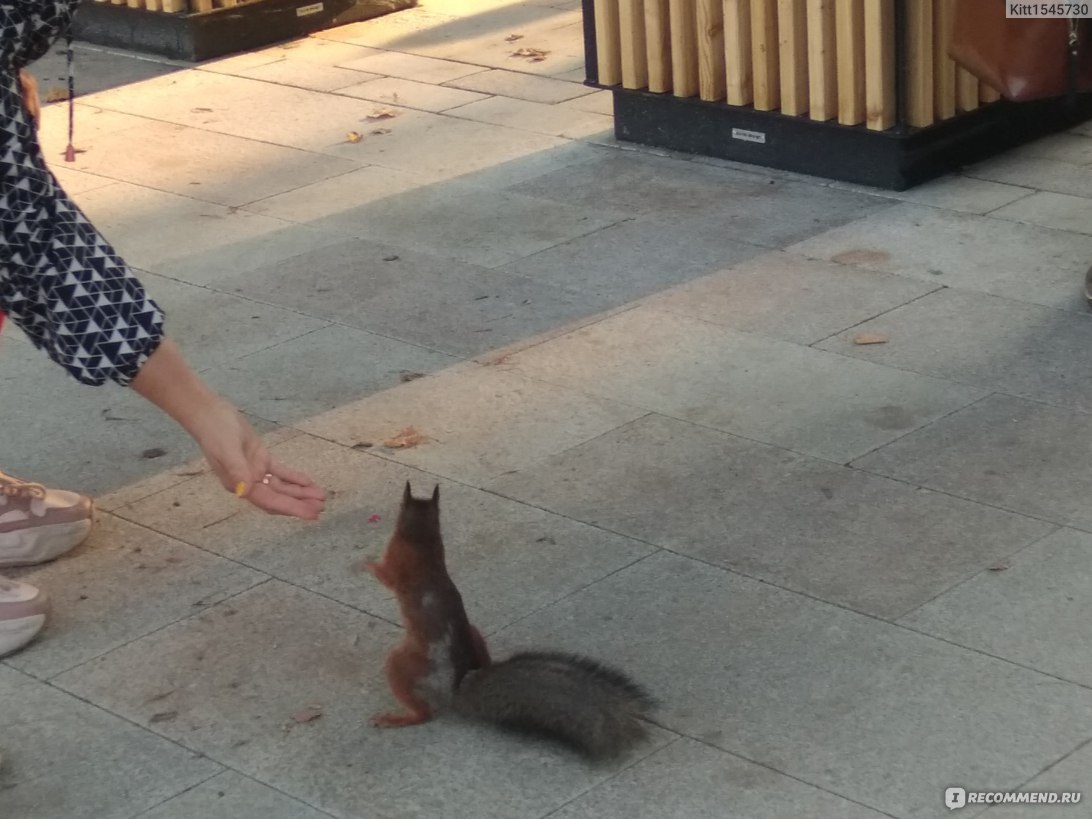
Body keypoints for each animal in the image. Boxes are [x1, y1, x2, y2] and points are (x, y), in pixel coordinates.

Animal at [364, 480, 655, 764]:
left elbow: (384, 575)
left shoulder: (397, 565)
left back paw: (395, 718)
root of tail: (456, 690)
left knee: (423, 713)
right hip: (474, 634)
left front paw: (364, 562)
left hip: (401, 665)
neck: (422, 540)